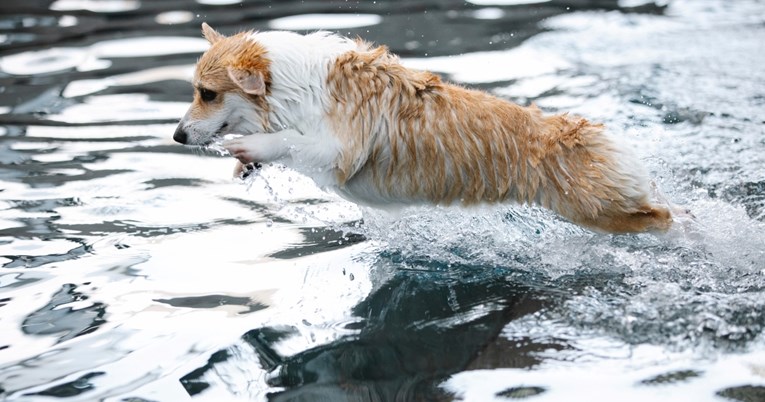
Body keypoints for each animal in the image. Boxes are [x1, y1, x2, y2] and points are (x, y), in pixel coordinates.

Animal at [175, 23, 680, 234]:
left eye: (208, 93)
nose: (177, 136)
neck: (292, 83)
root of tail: (590, 129)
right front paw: (245, 164)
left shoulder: (338, 150)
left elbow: (289, 141)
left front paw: (250, 146)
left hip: (600, 211)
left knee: (666, 218)